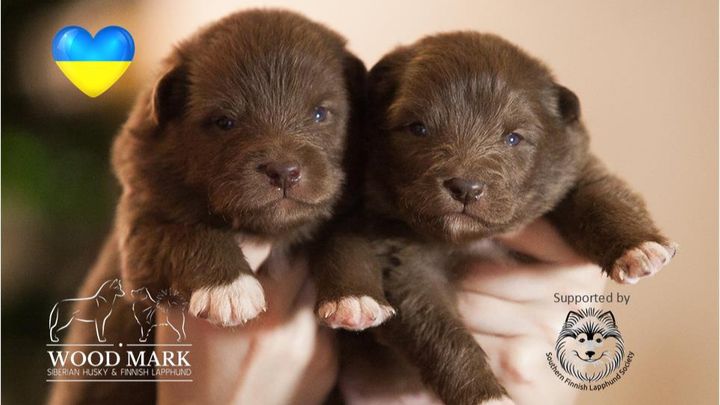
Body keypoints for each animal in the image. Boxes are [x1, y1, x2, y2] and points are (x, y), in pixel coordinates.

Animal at [49, 9, 366, 404]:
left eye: (321, 114)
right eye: (224, 122)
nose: (283, 171)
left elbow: (347, 238)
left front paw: (354, 297)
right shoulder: (141, 228)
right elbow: (183, 234)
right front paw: (229, 290)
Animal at [314, 32, 676, 404]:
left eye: (513, 137)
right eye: (418, 128)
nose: (466, 188)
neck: (466, 240)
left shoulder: (574, 169)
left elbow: (600, 195)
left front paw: (638, 248)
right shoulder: (404, 263)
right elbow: (439, 329)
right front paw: (486, 395)